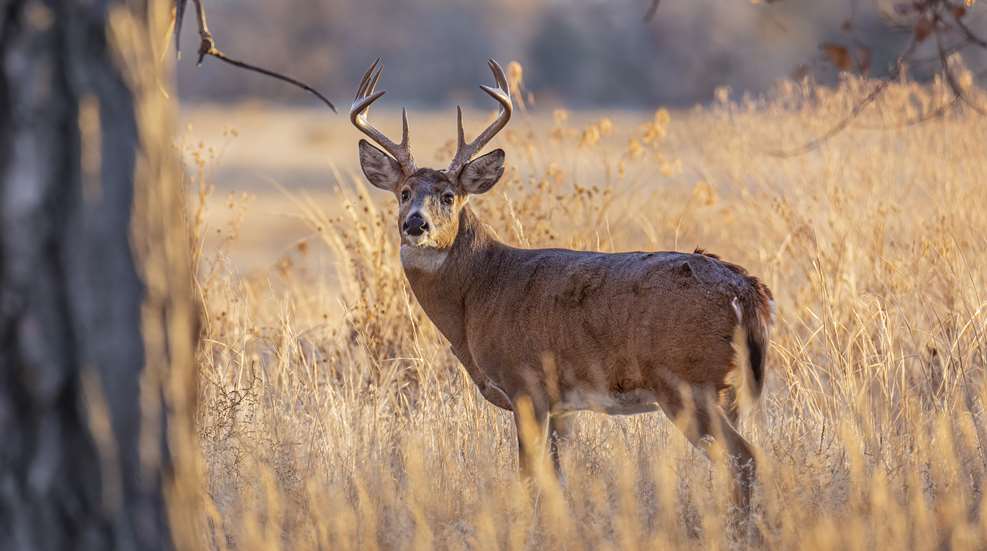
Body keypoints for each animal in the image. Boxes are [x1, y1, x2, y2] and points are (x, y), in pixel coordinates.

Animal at [350, 58, 775, 515]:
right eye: (404, 192)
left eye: (448, 196)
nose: (415, 224)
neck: (480, 291)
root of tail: (747, 289)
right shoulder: (561, 407)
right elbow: (556, 479)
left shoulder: (525, 384)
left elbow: (528, 477)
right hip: (728, 390)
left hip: (689, 382)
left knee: (744, 457)